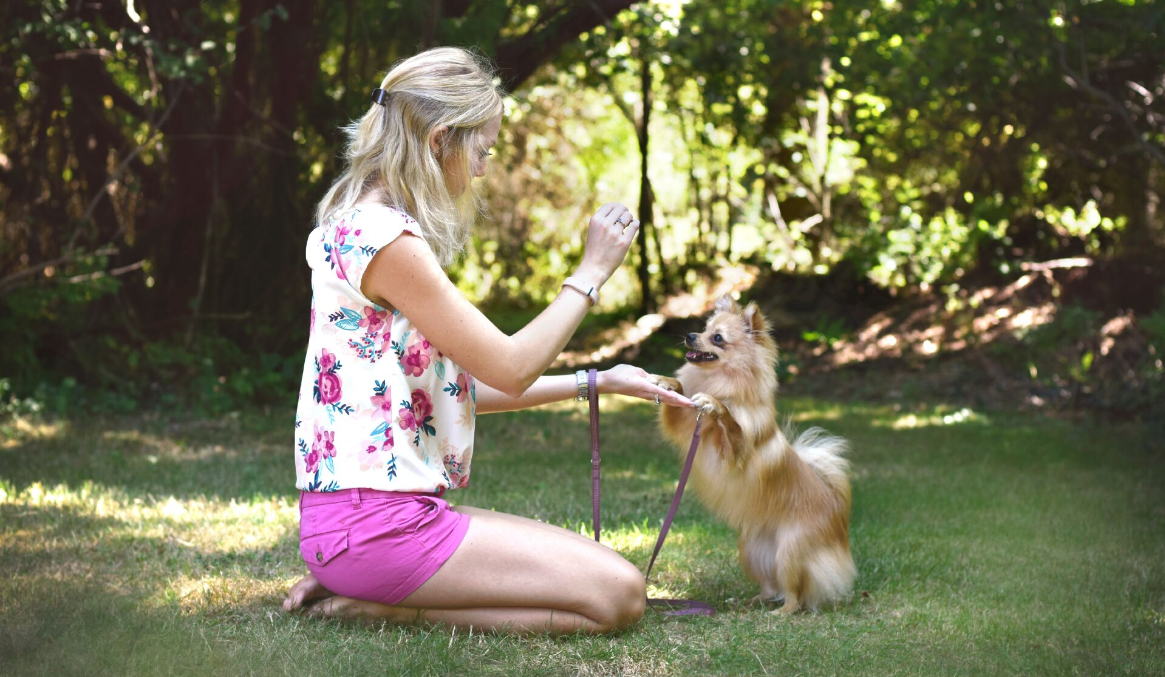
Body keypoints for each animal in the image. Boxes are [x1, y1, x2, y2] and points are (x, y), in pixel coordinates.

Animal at [657, 295, 857, 610]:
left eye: (717, 338)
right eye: (703, 329)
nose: (689, 335)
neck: (720, 382)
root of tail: (837, 506)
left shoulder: (734, 456)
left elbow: (732, 425)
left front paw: (716, 405)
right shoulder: (684, 427)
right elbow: (677, 402)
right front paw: (669, 382)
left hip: (790, 552)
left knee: (796, 595)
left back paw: (781, 613)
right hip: (752, 550)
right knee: (772, 586)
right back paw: (754, 601)